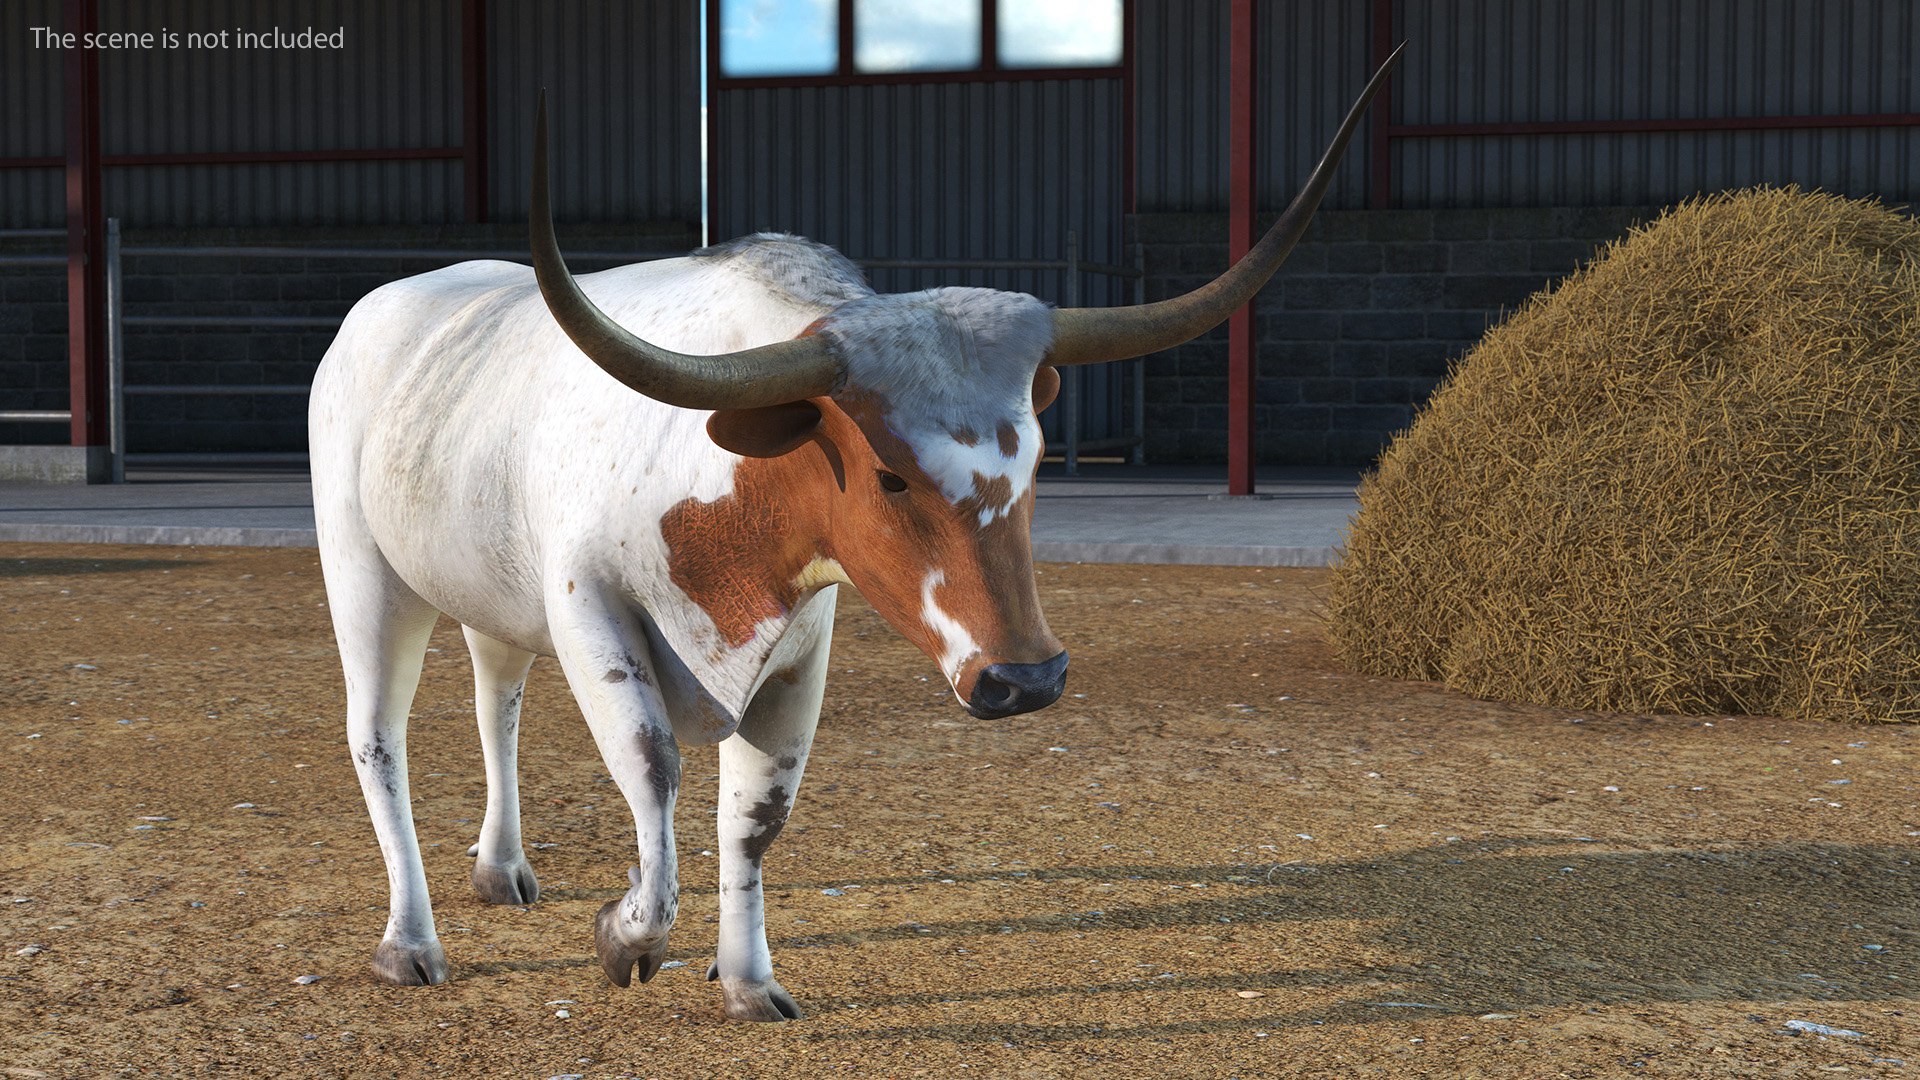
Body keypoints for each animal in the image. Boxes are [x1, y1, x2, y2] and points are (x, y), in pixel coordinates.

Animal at [308, 48, 1399, 1021]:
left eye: (1040, 461)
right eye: (888, 474)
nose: (1028, 680)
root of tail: (399, 297)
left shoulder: (801, 643)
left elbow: (757, 815)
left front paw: (748, 983)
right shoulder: (592, 613)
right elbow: (653, 766)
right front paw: (626, 939)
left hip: (487, 584)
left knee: (496, 700)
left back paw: (500, 869)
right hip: (363, 573)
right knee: (378, 739)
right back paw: (409, 942)